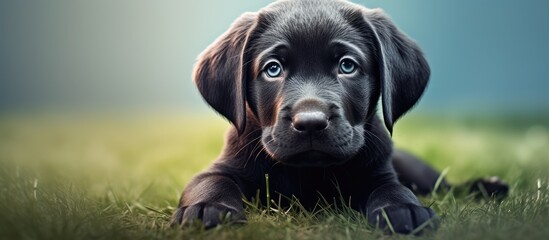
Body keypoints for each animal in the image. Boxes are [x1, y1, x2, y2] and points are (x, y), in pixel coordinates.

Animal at [173, 0, 508, 234]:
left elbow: (392, 188)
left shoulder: (379, 171)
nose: (310, 122)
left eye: (347, 66)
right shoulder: (223, 166)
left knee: (444, 185)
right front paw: (206, 209)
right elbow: (211, 182)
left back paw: (488, 186)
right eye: (273, 69)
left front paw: (403, 208)